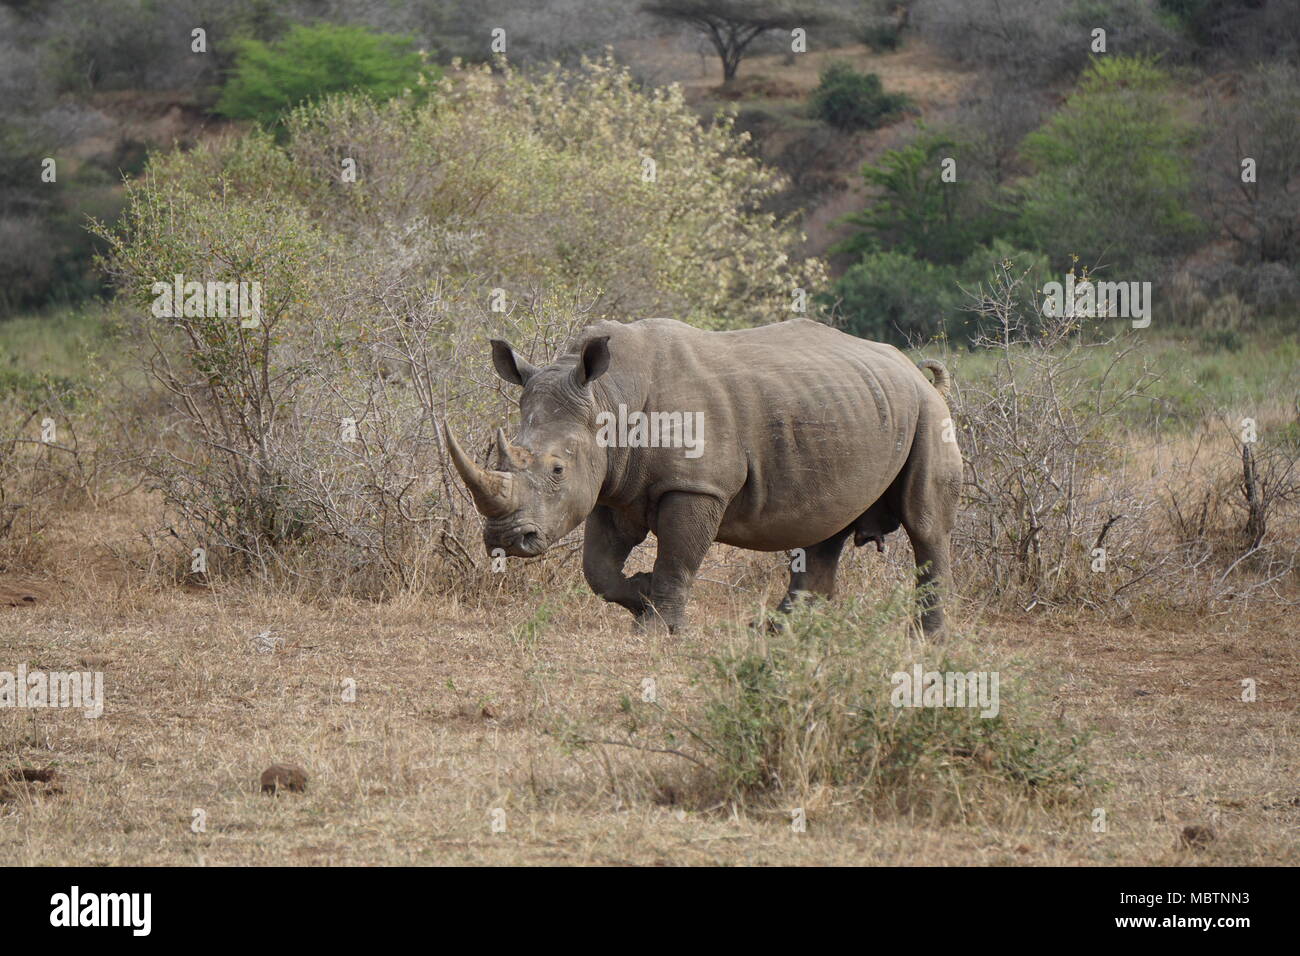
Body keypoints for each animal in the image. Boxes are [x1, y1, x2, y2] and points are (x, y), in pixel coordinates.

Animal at [444, 317, 962, 635]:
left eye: (556, 469)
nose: (506, 540)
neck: (608, 398)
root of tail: (913, 370)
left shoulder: (696, 486)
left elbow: (678, 557)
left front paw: (658, 628)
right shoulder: (612, 486)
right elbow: (599, 569)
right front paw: (642, 595)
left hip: (928, 414)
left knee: (926, 525)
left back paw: (926, 640)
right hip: (846, 408)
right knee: (824, 528)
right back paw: (779, 632)